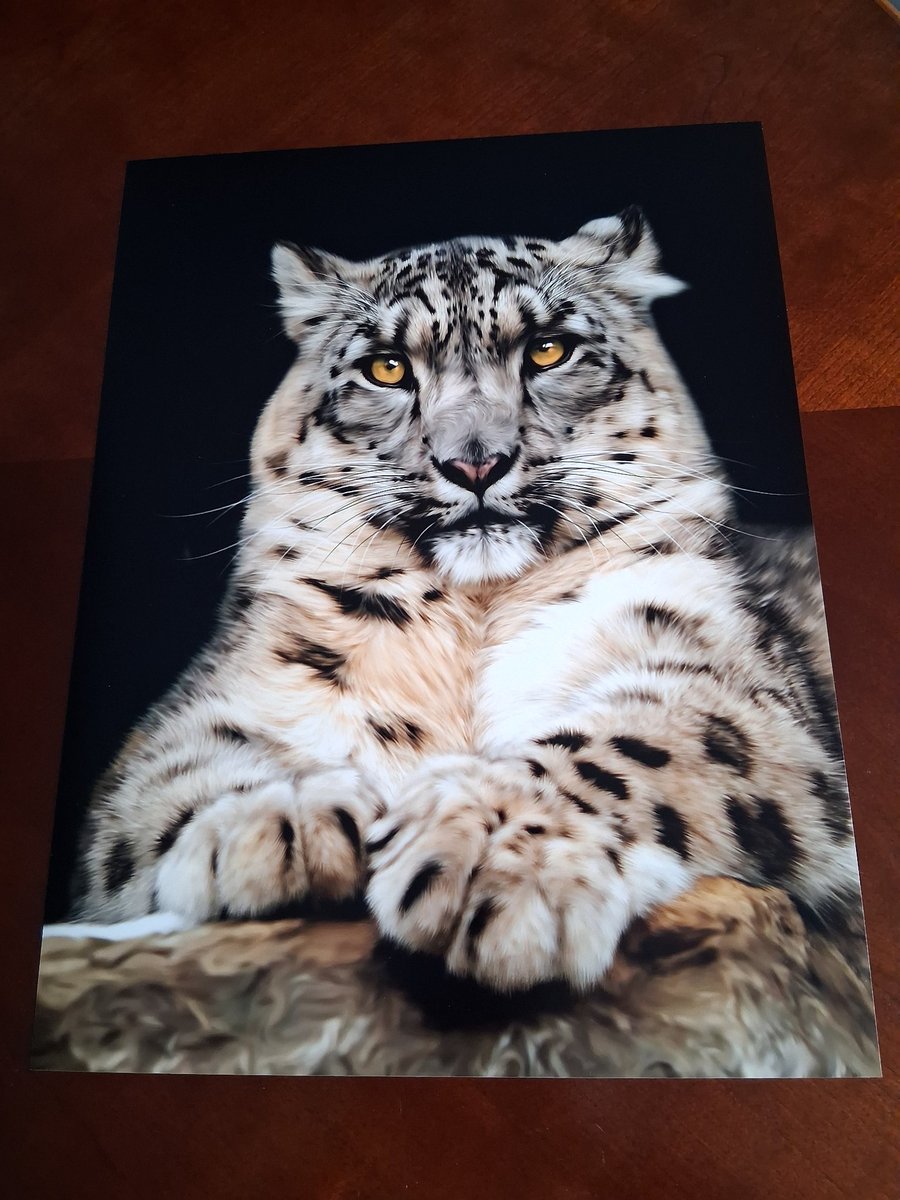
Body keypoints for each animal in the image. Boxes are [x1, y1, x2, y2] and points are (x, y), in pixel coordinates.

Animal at [71, 208, 860, 993]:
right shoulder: (224, 695)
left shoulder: (722, 679)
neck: (470, 625)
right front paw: (281, 819)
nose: (475, 462)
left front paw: (487, 852)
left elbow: (636, 741)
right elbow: (182, 763)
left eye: (548, 349)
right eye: (386, 366)